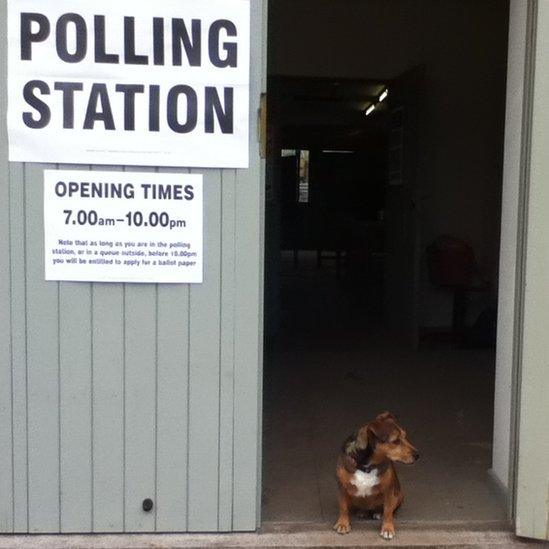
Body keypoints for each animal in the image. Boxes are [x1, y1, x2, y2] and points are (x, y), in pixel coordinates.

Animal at [332, 412, 418, 540]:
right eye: (396, 441)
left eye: (404, 436)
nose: (418, 455)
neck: (366, 466)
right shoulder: (342, 488)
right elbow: (343, 507)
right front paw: (343, 524)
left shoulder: (389, 490)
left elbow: (388, 511)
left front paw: (387, 528)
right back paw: (362, 512)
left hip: (398, 495)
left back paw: (377, 513)